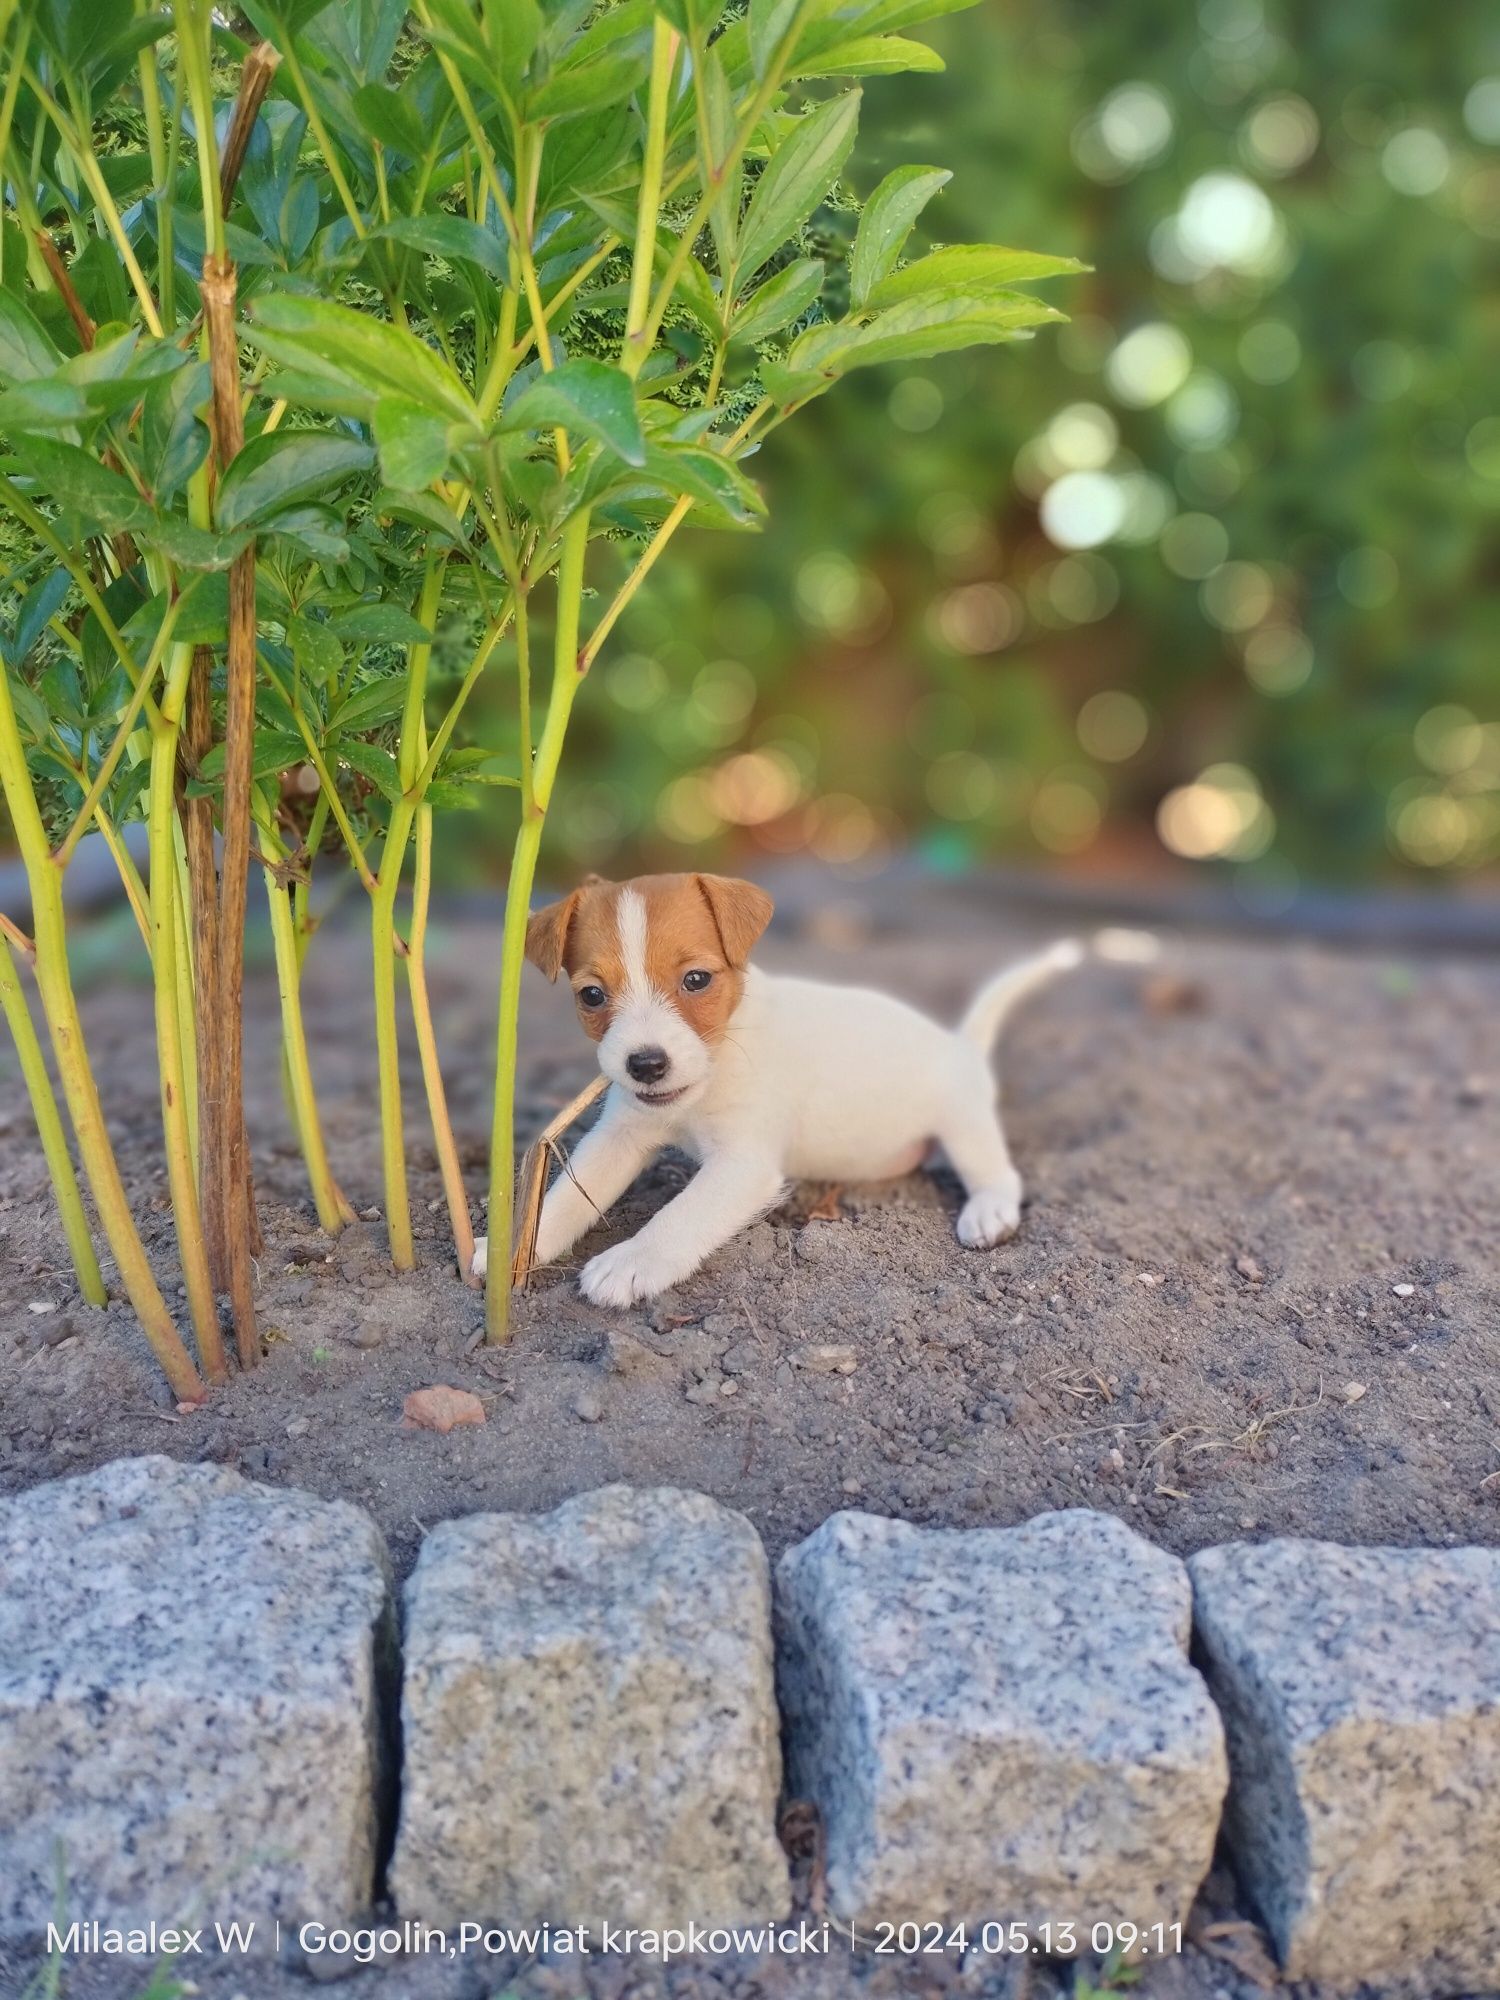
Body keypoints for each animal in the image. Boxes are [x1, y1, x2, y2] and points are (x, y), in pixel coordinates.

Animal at [476, 876, 1072, 1312]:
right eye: (592, 995)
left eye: (696, 980)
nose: (645, 1065)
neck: (713, 1070)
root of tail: (960, 1043)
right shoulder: (620, 1135)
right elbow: (564, 1200)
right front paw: (510, 1249)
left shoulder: (744, 1165)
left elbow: (680, 1215)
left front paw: (632, 1261)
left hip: (963, 1124)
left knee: (998, 1173)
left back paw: (989, 1212)